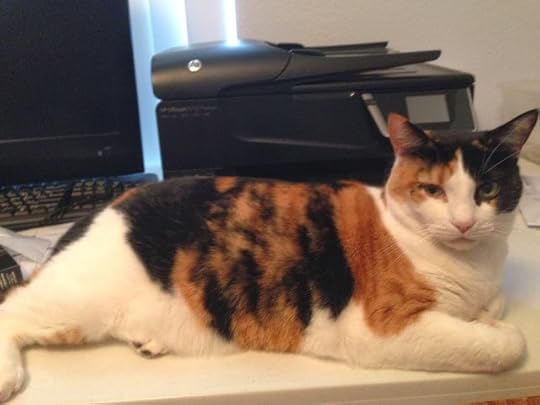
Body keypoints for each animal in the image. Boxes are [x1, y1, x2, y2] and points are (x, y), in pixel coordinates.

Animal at [0, 110, 537, 401]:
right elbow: (506, 343)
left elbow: (494, 304)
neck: (471, 265)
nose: (464, 223)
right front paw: (493, 329)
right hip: (77, 301)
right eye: (432, 190)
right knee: (13, 306)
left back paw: (149, 340)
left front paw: (484, 313)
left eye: (488, 189)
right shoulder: (378, 328)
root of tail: (106, 206)